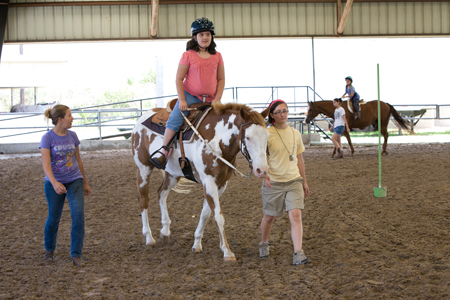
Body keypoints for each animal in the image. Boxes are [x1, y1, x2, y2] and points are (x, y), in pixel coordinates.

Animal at [132, 102, 268, 262]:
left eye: (267, 136)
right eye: (247, 137)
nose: (262, 170)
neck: (216, 139)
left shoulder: (221, 184)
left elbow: (206, 214)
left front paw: (196, 244)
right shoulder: (209, 182)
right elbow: (218, 217)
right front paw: (227, 251)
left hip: (172, 174)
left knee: (161, 193)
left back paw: (165, 232)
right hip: (143, 168)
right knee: (143, 200)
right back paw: (149, 237)